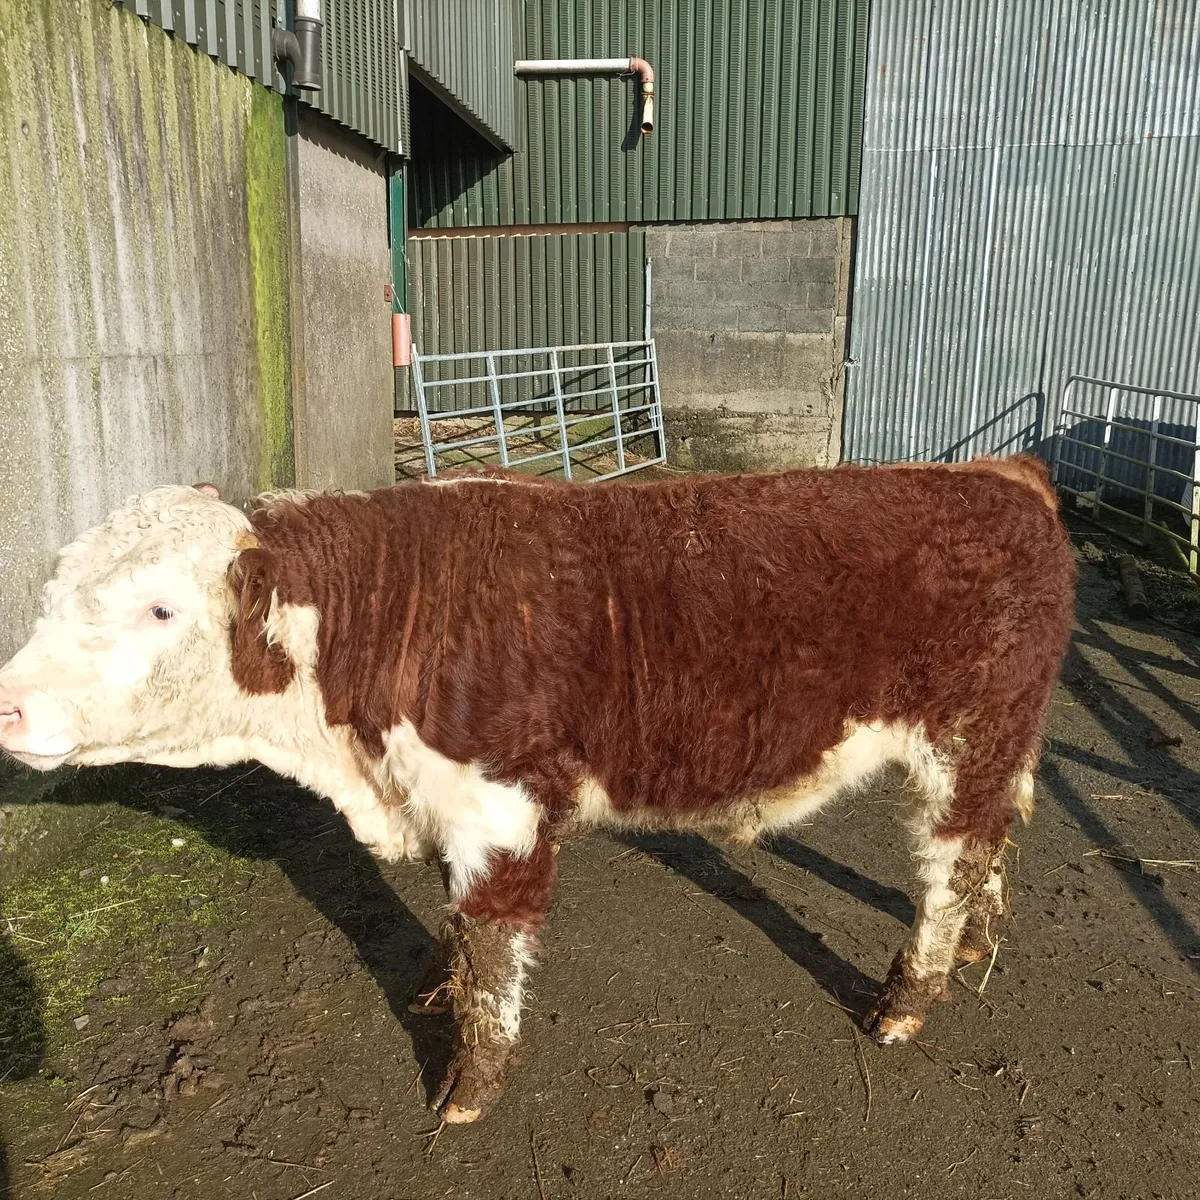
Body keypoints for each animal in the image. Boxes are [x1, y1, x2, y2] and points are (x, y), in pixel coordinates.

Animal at [0, 456, 1076, 1123]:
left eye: (160, 608)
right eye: (49, 590)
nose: (7, 705)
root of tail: (1001, 475)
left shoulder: (499, 809)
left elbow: (492, 954)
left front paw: (468, 1090)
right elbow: (455, 934)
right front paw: (434, 987)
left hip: (965, 739)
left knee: (948, 864)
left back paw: (909, 1001)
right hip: (1002, 742)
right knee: (992, 843)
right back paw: (977, 945)